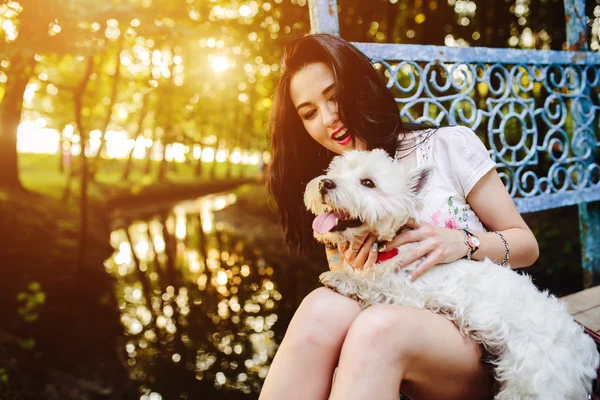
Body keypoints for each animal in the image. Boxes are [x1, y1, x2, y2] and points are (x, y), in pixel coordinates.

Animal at [304, 149, 600, 400]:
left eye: (368, 182)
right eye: (336, 171)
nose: (325, 183)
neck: (389, 245)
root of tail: (585, 355)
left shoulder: (408, 291)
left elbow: (377, 283)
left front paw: (341, 279)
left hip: (532, 385)